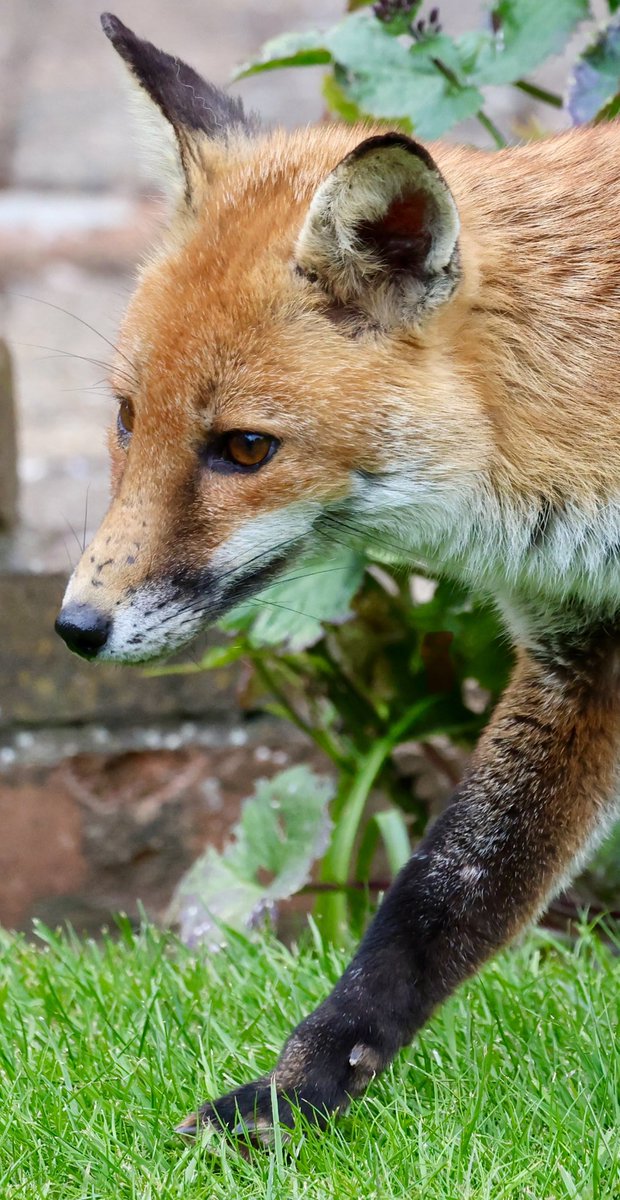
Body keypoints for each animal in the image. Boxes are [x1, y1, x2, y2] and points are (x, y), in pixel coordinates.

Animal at [53, 14, 618, 1142]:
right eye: (129, 417)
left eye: (244, 448)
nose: (76, 628)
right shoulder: (580, 653)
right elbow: (433, 899)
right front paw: (296, 1092)